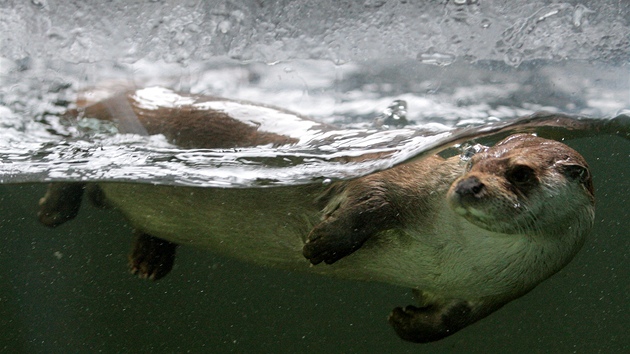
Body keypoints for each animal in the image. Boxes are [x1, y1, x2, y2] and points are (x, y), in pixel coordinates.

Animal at [37, 88, 596, 342]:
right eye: (473, 160)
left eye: (519, 173)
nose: (470, 185)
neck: (462, 252)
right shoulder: (401, 182)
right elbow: (367, 200)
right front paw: (320, 245)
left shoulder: (489, 293)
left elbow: (443, 323)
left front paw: (403, 321)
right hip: (90, 124)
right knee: (72, 160)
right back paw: (53, 209)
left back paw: (149, 260)